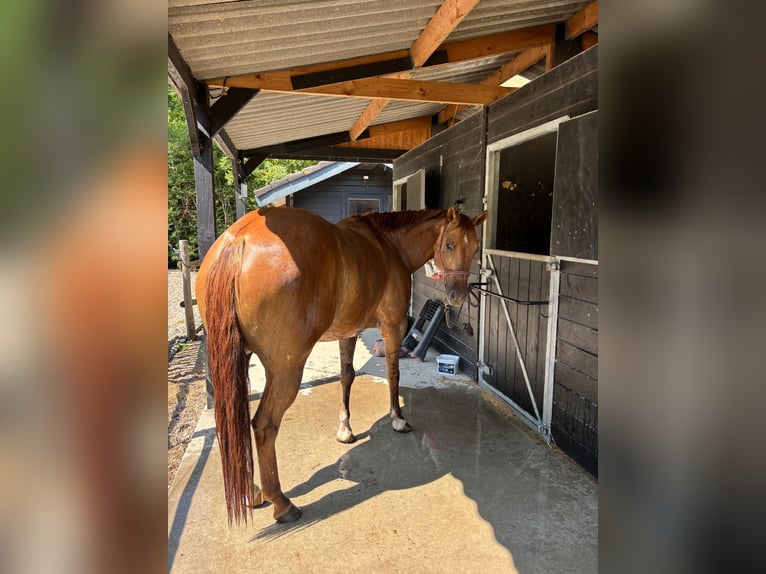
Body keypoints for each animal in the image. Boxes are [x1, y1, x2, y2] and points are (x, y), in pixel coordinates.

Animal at [196, 206, 487, 525]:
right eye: (449, 244)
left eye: (475, 248)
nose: (457, 296)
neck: (389, 245)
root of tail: (239, 240)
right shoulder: (394, 326)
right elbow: (393, 373)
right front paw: (398, 419)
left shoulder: (348, 331)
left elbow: (347, 376)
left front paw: (345, 428)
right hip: (286, 370)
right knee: (264, 424)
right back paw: (281, 503)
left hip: (239, 361)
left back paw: (252, 492)